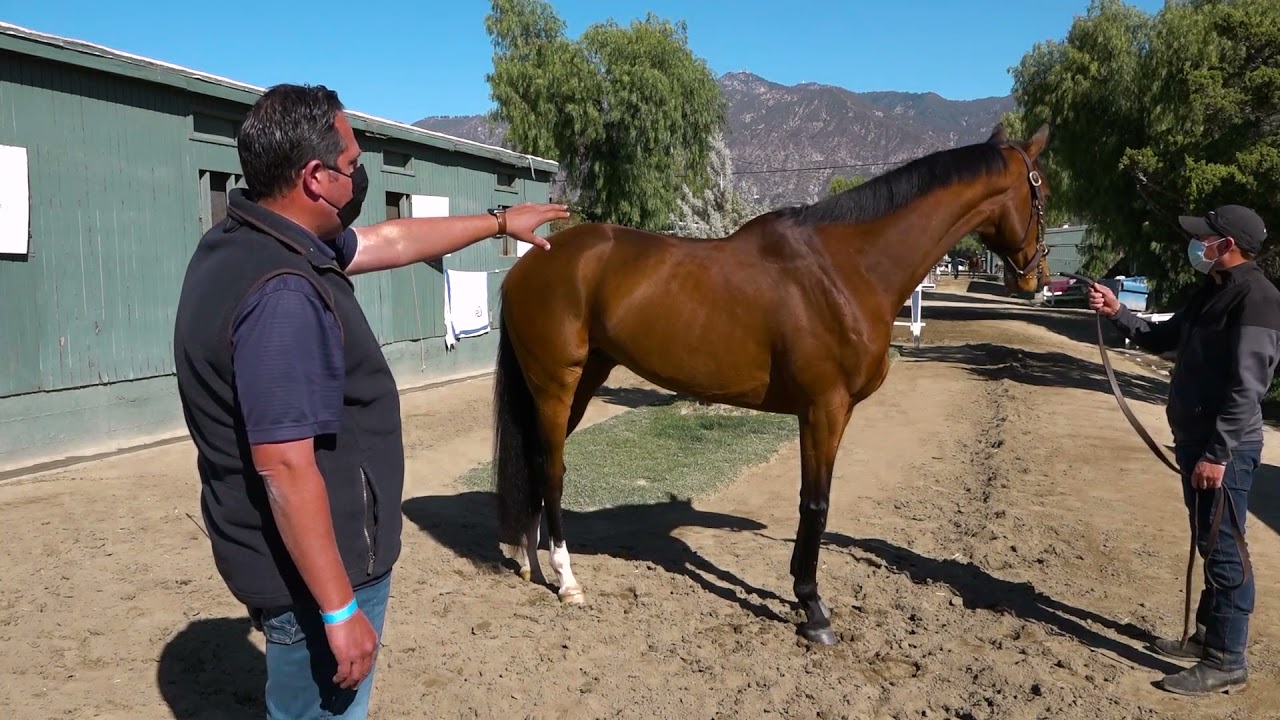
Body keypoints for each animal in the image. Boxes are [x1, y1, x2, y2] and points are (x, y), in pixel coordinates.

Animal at [489, 122, 1052, 645]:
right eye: (1040, 188)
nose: (1035, 276)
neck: (846, 269)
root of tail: (531, 261)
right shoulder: (825, 409)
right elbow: (816, 504)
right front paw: (813, 609)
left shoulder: (826, 412)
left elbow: (812, 501)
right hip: (557, 383)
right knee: (553, 469)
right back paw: (566, 580)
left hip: (584, 379)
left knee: (537, 460)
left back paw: (530, 562)